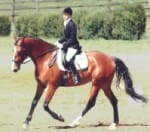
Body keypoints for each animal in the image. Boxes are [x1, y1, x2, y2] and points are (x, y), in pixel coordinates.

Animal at [11, 36, 148, 129]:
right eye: (13, 51)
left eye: (19, 51)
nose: (14, 68)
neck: (45, 59)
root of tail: (111, 58)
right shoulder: (41, 85)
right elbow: (34, 102)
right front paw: (26, 122)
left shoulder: (52, 85)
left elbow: (45, 105)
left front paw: (60, 118)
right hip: (104, 84)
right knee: (113, 100)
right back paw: (114, 123)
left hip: (97, 83)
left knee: (91, 103)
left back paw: (73, 123)